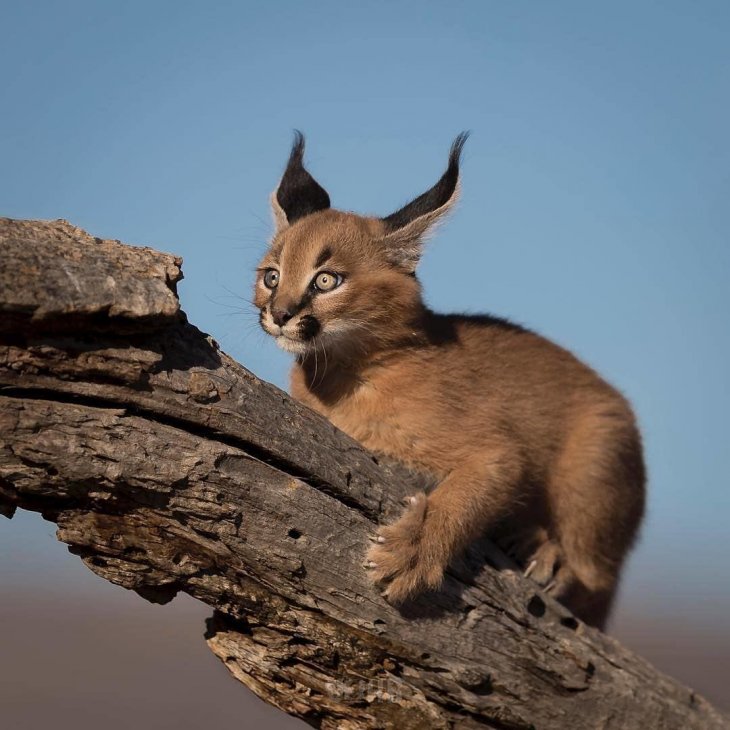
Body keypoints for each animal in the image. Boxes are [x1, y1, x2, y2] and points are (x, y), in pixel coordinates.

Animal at [253, 134, 640, 628]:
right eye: (272, 276)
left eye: (326, 281)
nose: (280, 314)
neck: (341, 371)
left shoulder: (499, 451)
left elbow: (461, 496)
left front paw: (411, 554)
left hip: (595, 455)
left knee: (595, 581)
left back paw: (551, 556)